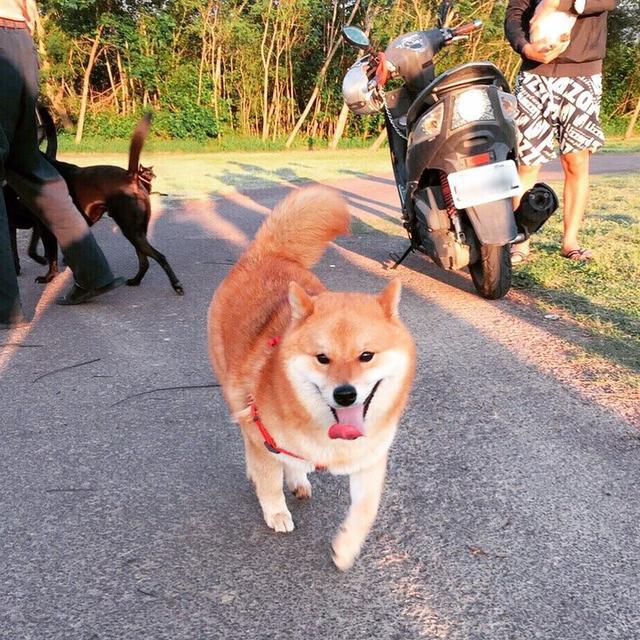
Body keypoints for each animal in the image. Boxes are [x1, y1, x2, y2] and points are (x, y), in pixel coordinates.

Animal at [206, 185, 416, 568]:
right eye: (322, 358)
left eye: (366, 356)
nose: (345, 394)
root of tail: (266, 253)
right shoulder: (261, 433)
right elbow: (269, 480)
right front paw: (275, 511)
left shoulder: (370, 459)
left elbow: (366, 509)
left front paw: (346, 547)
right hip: (235, 391)